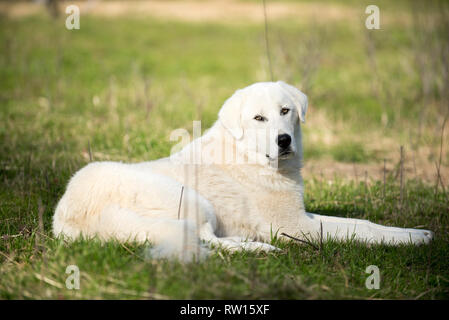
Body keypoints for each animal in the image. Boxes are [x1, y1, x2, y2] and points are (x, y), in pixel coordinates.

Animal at [51, 81, 430, 262]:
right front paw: (412, 238)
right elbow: (360, 230)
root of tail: (72, 217)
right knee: (204, 239)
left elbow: (360, 222)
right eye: (258, 118)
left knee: (208, 239)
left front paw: (416, 233)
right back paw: (259, 250)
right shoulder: (295, 227)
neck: (251, 156)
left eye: (285, 110)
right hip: (192, 200)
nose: (283, 140)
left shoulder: (301, 217)